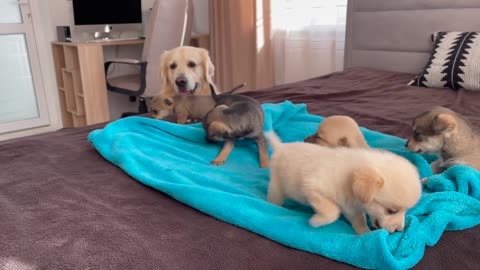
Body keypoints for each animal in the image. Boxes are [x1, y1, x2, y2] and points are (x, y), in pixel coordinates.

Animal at [266, 132, 420, 234]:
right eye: (391, 211)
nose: (399, 230)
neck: (349, 181)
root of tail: (280, 146)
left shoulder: (352, 208)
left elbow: (360, 221)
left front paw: (365, 234)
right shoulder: (313, 188)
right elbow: (333, 212)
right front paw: (315, 221)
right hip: (277, 187)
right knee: (273, 199)